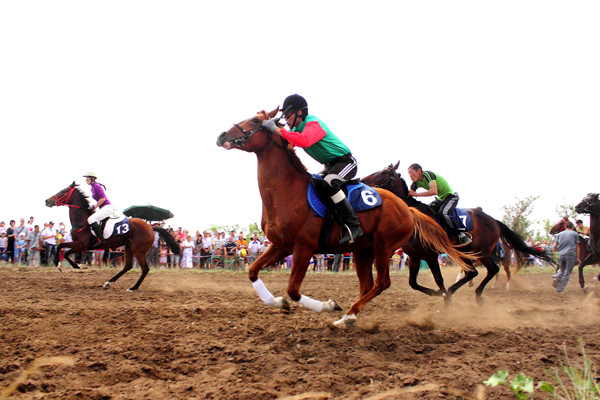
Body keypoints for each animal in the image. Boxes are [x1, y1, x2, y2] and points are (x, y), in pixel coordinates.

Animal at [45, 182, 179, 290]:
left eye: (63, 191)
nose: (47, 201)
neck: (82, 220)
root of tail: (151, 227)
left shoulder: (82, 245)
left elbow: (63, 249)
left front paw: (69, 265)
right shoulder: (81, 245)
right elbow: (64, 250)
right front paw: (77, 265)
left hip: (138, 250)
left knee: (145, 268)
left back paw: (133, 288)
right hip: (129, 247)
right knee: (128, 266)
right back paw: (109, 282)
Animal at [217, 108, 478, 328]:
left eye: (255, 121)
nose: (221, 135)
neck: (289, 191)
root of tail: (406, 207)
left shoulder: (303, 248)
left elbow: (293, 290)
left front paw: (328, 305)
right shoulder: (281, 246)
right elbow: (252, 271)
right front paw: (279, 302)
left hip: (384, 246)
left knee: (382, 283)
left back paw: (349, 315)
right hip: (363, 251)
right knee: (368, 285)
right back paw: (349, 315)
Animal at [360, 161, 552, 304]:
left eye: (384, 173)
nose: (362, 179)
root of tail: (493, 220)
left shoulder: (430, 255)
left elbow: (439, 279)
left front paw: (443, 295)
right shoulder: (415, 255)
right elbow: (413, 283)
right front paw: (439, 294)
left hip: (481, 251)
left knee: (492, 269)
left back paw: (472, 293)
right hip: (466, 251)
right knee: (473, 272)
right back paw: (461, 292)